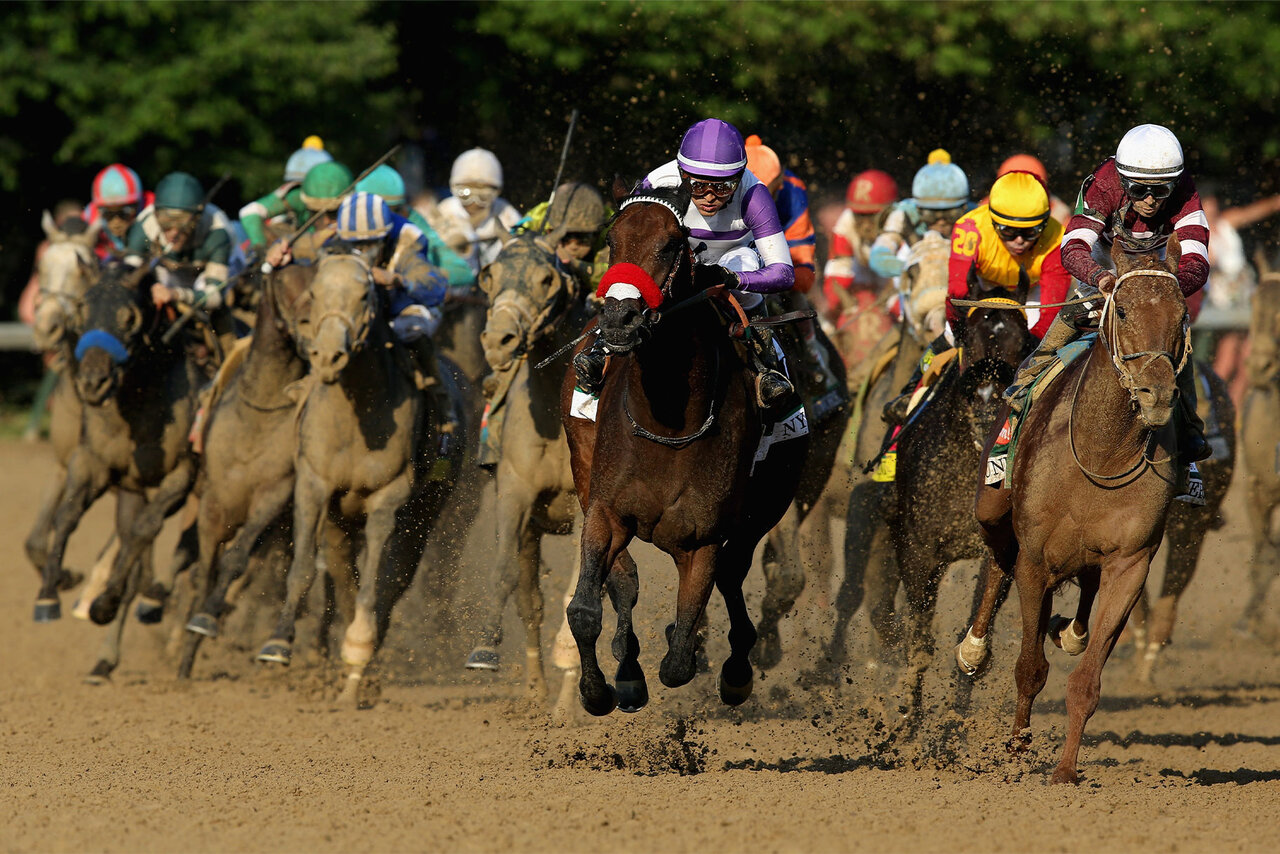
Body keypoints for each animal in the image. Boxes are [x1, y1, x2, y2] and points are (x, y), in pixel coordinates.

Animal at [563, 181, 803, 717]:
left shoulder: (702, 539)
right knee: (625, 580)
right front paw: (597, 691)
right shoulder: (605, 510)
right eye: (611, 240)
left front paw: (692, 647)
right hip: (584, 472)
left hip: (770, 498)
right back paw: (629, 672)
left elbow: (678, 661)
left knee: (733, 573)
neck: (666, 423)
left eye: (672, 244)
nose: (619, 318)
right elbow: (586, 609)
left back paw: (734, 669)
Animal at [967, 236, 1187, 783]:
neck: (1101, 451)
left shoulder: (1131, 563)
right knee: (997, 560)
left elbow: (1086, 682)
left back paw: (1070, 631)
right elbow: (1029, 667)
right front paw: (1016, 750)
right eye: (1123, 309)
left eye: (1182, 315)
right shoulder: (1036, 561)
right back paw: (973, 647)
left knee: (1084, 594)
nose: (1157, 393)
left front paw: (1065, 770)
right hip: (993, 504)